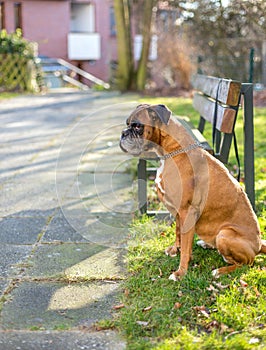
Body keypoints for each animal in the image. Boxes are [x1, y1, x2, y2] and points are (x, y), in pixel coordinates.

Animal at [120, 103, 266, 278]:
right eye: (127, 123)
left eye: (137, 126)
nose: (123, 133)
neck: (171, 151)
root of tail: (259, 245)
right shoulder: (178, 211)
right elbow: (178, 232)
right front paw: (175, 249)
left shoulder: (187, 211)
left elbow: (185, 246)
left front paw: (180, 272)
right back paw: (207, 244)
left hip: (225, 234)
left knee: (246, 263)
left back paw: (220, 270)